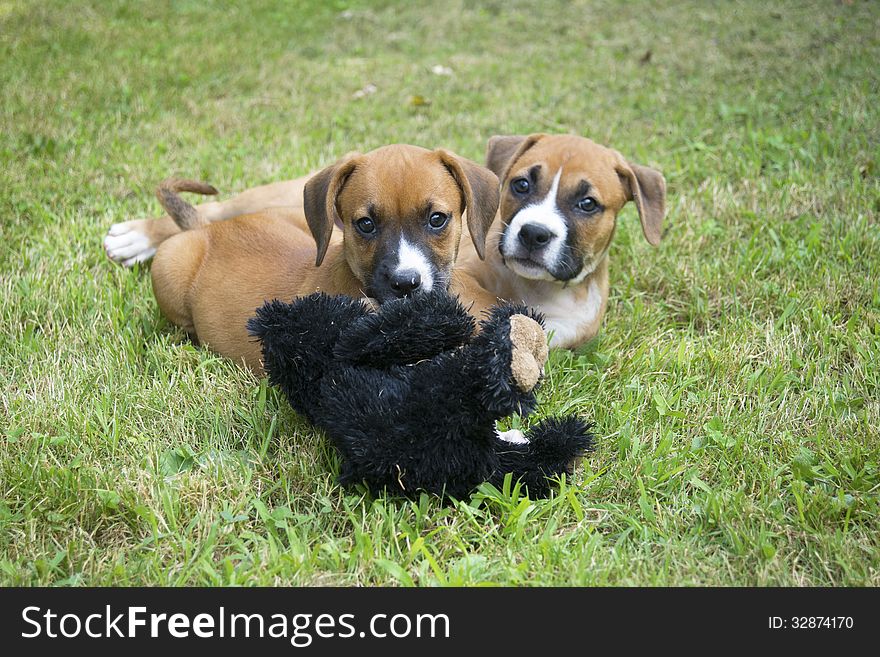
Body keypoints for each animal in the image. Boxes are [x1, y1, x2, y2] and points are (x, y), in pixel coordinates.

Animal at [454, 133, 668, 348]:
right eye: (522, 185)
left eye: (588, 204)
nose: (533, 233)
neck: (537, 286)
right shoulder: (461, 275)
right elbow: (488, 302)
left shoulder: (571, 327)